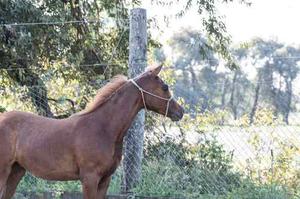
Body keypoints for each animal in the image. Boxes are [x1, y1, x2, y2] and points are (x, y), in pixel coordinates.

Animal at [0, 65, 183, 199]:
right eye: (165, 87)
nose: (180, 111)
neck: (103, 128)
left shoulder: (104, 180)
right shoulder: (89, 178)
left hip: (16, 172)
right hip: (4, 171)